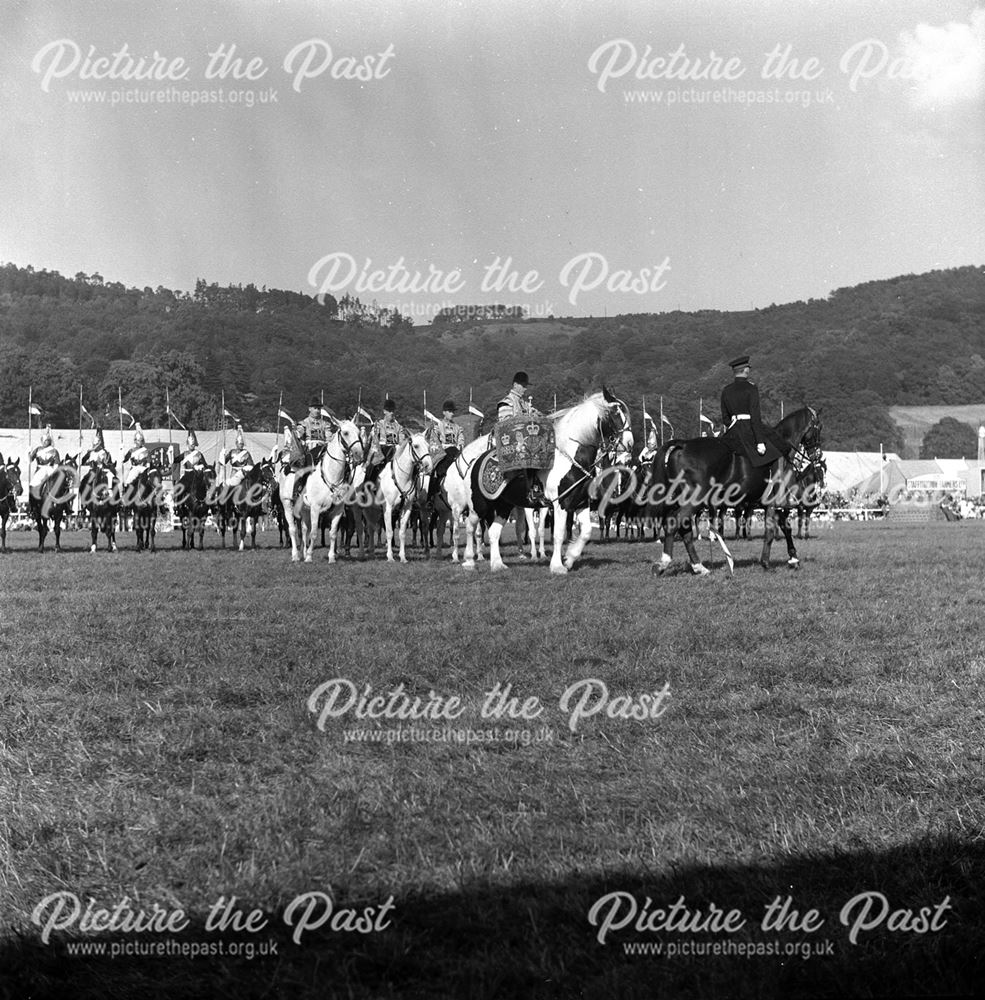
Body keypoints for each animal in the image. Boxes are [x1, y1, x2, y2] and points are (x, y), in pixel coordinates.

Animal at [378, 434, 432, 568]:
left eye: (428, 445)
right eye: (416, 446)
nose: (428, 466)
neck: (400, 478)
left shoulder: (407, 509)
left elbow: (402, 532)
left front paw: (402, 557)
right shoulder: (388, 509)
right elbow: (389, 531)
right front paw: (390, 557)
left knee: (424, 527)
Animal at [444, 386, 632, 576]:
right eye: (615, 413)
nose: (629, 443)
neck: (570, 458)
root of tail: (474, 462)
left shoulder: (580, 503)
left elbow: (585, 532)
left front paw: (569, 558)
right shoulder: (560, 504)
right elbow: (558, 534)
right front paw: (557, 566)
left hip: (504, 506)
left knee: (493, 532)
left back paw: (497, 564)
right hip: (478, 505)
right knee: (470, 526)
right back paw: (469, 561)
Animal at [644, 406, 824, 576]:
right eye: (819, 427)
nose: (817, 455)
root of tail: (683, 445)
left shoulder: (772, 505)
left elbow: (785, 528)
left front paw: (793, 559)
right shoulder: (774, 503)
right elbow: (771, 532)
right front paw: (766, 563)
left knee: (684, 529)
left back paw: (699, 567)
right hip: (695, 500)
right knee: (673, 524)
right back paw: (663, 564)